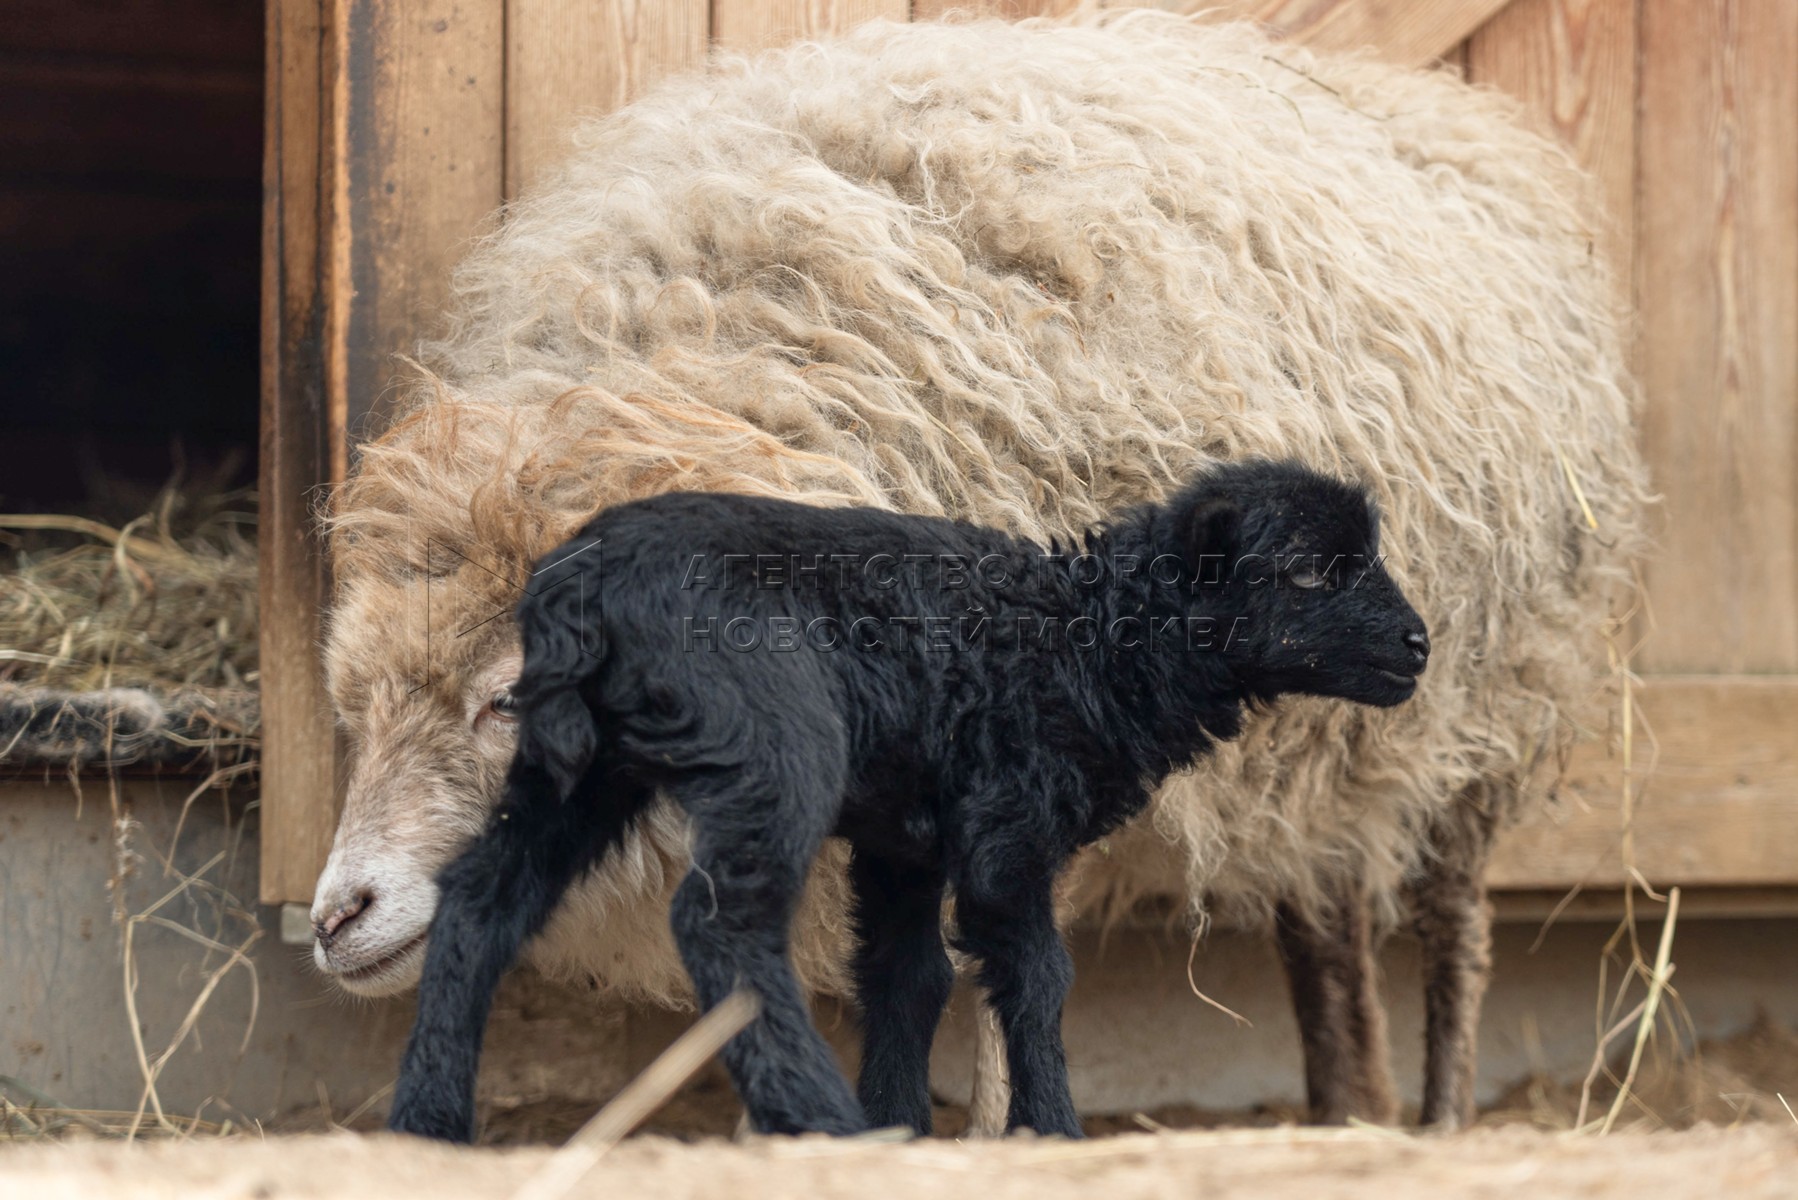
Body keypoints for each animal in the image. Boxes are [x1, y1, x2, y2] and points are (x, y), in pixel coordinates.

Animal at [309, 11, 1646, 1137]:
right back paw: (1345, 1105)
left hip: (1481, 708)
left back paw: (1439, 1117)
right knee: (1320, 910)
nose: (333, 917)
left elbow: (999, 965)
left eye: (504, 697)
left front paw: (1003, 1131)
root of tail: (1438, 103)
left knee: (1451, 919)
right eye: (353, 701)